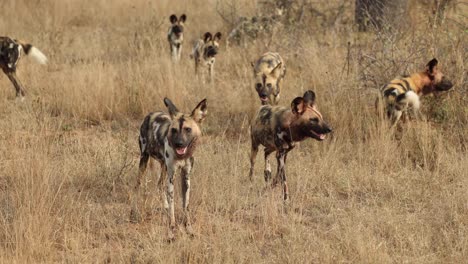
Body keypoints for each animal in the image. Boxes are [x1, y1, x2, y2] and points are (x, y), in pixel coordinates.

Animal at [131, 97, 206, 241]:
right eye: (174, 130)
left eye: (188, 129)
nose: (179, 144)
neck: (181, 156)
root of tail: (150, 114)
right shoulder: (172, 177)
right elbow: (172, 209)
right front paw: (171, 232)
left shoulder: (186, 177)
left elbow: (186, 206)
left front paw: (189, 229)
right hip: (144, 160)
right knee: (137, 185)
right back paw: (133, 211)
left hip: (164, 166)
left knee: (159, 184)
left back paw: (164, 207)